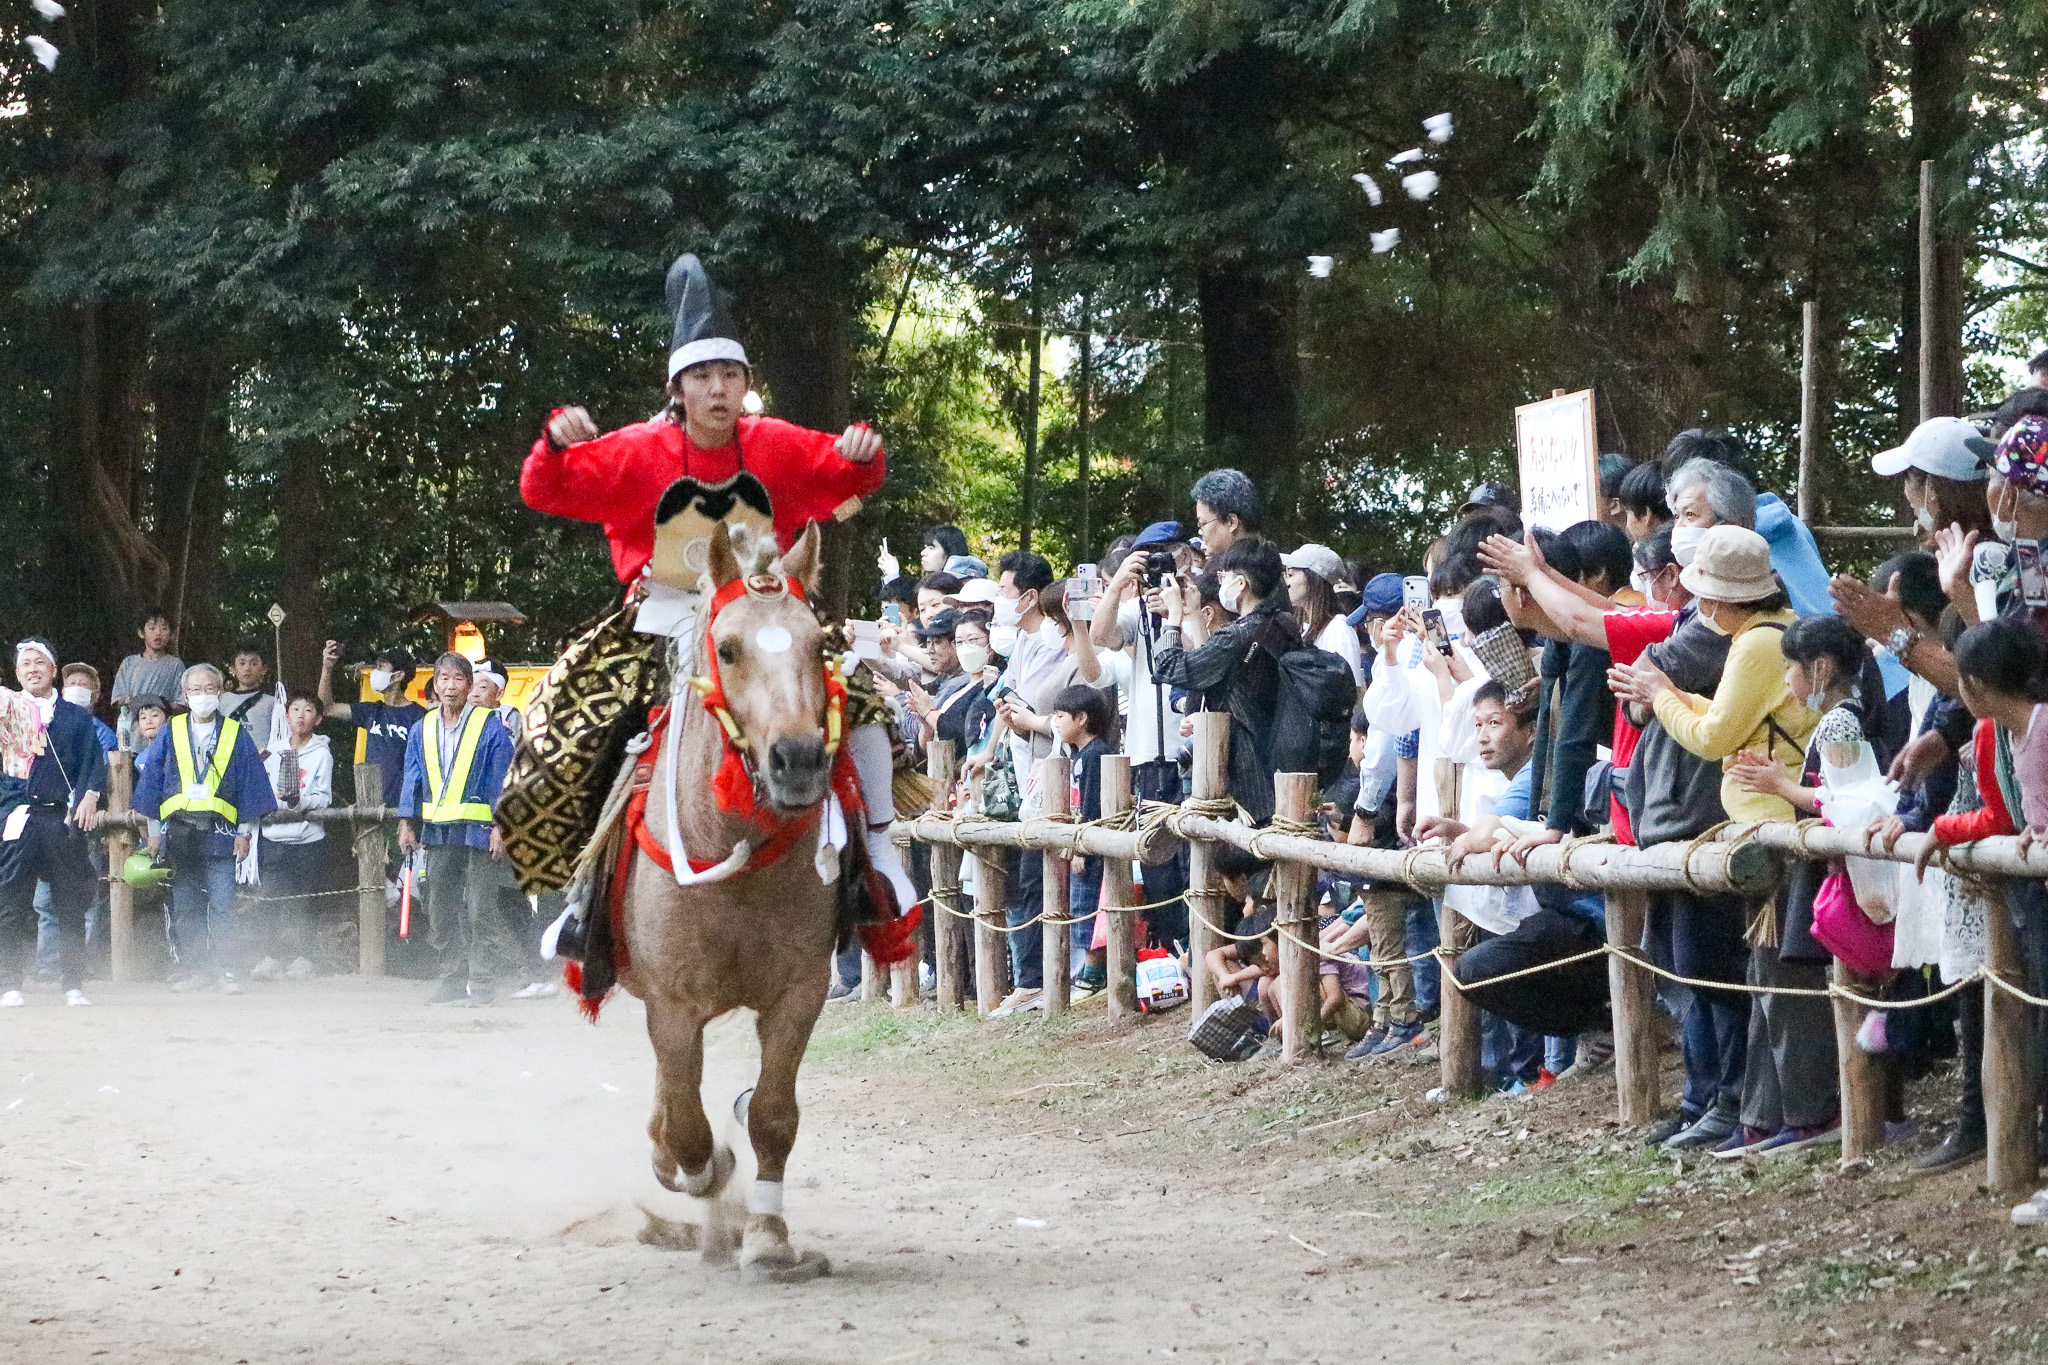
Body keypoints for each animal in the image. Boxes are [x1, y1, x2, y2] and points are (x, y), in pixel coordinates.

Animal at [618, 519, 848, 1283]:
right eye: (729, 648)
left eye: (818, 645)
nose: (798, 758)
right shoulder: (672, 1002)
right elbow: (690, 1127)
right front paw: (704, 1167)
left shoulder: (801, 988)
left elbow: (773, 1114)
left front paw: (769, 1236)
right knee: (673, 1101)